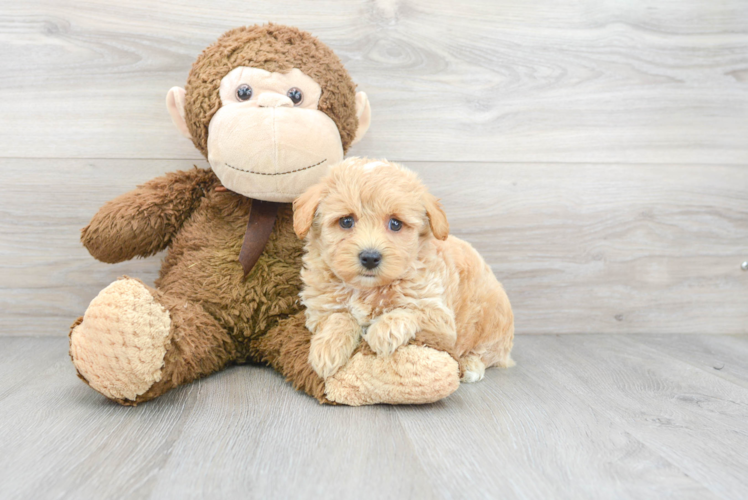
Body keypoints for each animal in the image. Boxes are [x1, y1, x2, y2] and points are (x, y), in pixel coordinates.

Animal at [294, 158, 516, 380]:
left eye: (395, 224)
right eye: (346, 221)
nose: (370, 258)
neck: (366, 290)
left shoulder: (441, 319)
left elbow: (410, 311)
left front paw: (383, 331)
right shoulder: (319, 309)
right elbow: (340, 316)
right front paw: (327, 348)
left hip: (493, 322)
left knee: (490, 353)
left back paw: (471, 365)